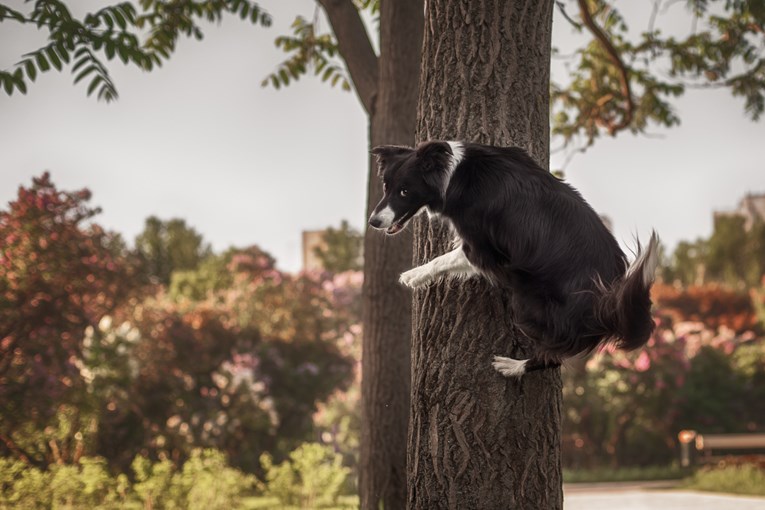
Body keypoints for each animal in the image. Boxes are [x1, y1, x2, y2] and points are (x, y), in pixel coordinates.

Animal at [368, 141, 656, 376]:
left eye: (405, 192)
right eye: (386, 186)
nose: (373, 222)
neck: (455, 174)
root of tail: (608, 305)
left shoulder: (483, 249)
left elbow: (445, 260)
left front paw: (413, 275)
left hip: (529, 300)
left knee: (552, 357)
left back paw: (513, 366)